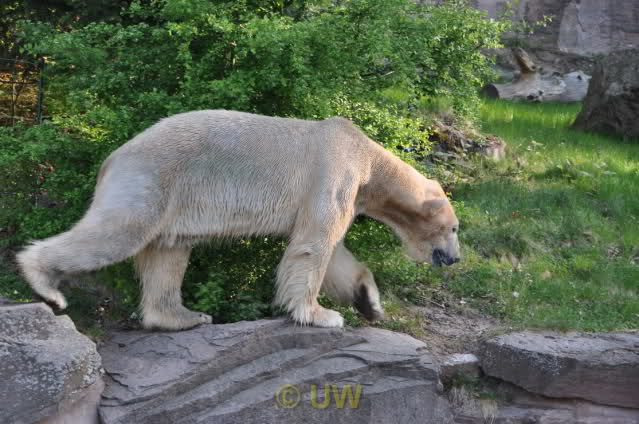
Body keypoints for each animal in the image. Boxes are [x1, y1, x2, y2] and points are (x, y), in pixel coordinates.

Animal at [16, 110, 460, 330]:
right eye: (454, 229)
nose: (455, 258)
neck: (367, 157)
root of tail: (113, 157)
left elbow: (332, 251)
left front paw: (370, 304)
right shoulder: (334, 174)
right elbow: (313, 247)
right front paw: (321, 315)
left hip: (175, 198)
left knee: (169, 253)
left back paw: (183, 317)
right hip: (151, 180)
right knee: (119, 232)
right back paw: (45, 284)